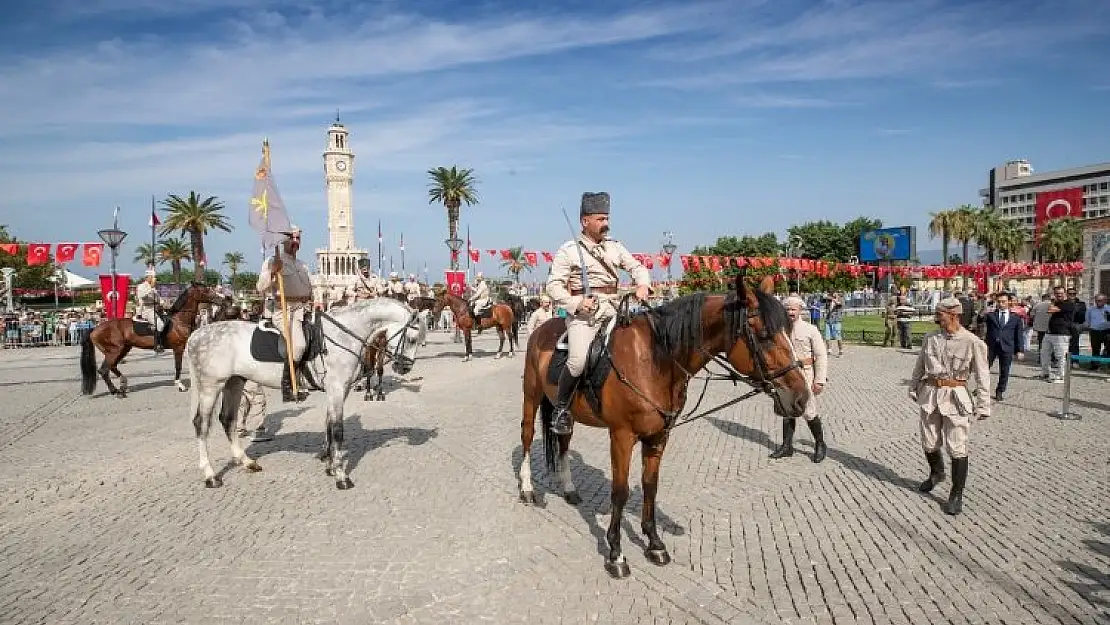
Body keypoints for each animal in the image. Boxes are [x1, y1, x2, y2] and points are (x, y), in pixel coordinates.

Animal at [79, 281, 217, 395]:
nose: (218, 299)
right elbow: (178, 366)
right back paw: (116, 391)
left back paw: (123, 384)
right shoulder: (178, 348)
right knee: (104, 370)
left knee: (112, 367)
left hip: (123, 349)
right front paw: (180, 385)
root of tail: (95, 328)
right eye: (205, 290)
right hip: (114, 351)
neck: (179, 320)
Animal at [182, 295, 424, 490]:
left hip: (234, 382)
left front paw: (329, 465)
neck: (343, 336)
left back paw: (247, 462)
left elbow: (329, 425)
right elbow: (337, 430)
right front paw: (341, 475)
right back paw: (211, 475)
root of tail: (197, 334)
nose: (405, 367)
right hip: (210, 386)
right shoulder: (337, 389)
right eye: (412, 339)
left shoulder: (339, 390)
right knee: (202, 425)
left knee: (228, 420)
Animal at [515, 276, 812, 581]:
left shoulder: (659, 435)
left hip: (567, 413)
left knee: (563, 441)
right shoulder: (621, 436)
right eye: (763, 335)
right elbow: (620, 492)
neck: (654, 360)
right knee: (527, 436)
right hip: (531, 397)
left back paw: (569, 489)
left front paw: (655, 543)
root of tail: (543, 327)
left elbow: (650, 485)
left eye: (789, 330)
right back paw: (527, 489)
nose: (802, 398)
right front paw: (616, 554)